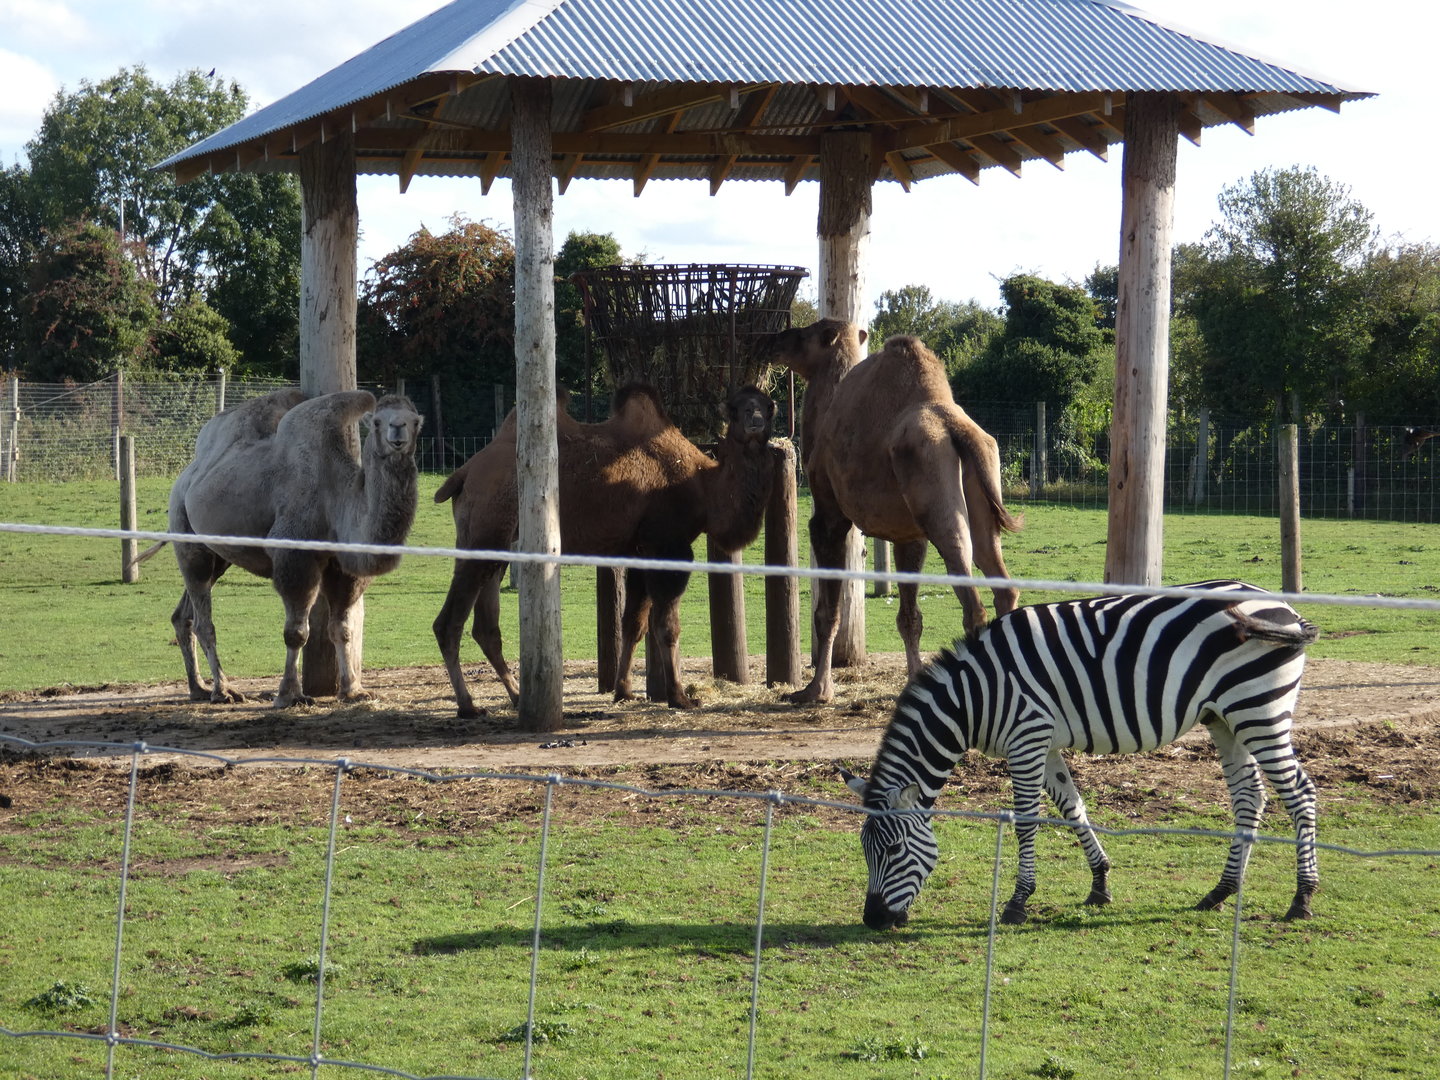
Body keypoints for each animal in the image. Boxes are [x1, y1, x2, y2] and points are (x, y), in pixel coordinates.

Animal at [168, 388, 423, 707]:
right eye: (377, 422)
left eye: (416, 422)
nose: (397, 432)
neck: (335, 500)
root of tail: (187, 475)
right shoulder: (295, 559)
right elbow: (297, 632)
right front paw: (289, 693)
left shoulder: (343, 569)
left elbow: (342, 629)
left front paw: (353, 690)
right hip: (186, 535)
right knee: (203, 618)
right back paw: (223, 690)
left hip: (219, 555)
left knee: (184, 615)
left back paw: (198, 688)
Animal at [432, 383, 776, 717]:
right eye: (739, 409)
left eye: (767, 405)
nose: (756, 421)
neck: (704, 488)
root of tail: (464, 473)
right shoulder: (668, 547)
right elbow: (666, 627)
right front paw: (680, 698)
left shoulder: (639, 551)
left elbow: (633, 624)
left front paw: (623, 691)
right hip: (485, 535)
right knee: (448, 624)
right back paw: (468, 706)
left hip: (497, 545)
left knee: (485, 628)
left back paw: (516, 696)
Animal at [771, 318, 1021, 704]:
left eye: (803, 334)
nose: (774, 340)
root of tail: (956, 430)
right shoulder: (908, 534)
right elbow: (909, 617)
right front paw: (913, 682)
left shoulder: (829, 516)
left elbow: (828, 612)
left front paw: (816, 690)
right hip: (982, 490)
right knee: (999, 579)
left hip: (936, 495)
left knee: (971, 594)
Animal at [842, 580, 1321, 928]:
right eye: (864, 850)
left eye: (894, 850)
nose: (873, 920)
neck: (975, 696)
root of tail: (1282, 606)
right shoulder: (1045, 742)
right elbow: (1073, 808)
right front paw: (1100, 884)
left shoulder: (1027, 737)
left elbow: (1027, 821)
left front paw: (1017, 903)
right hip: (1224, 717)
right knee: (1250, 796)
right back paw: (1221, 891)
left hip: (1259, 709)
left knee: (1300, 793)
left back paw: (1301, 898)